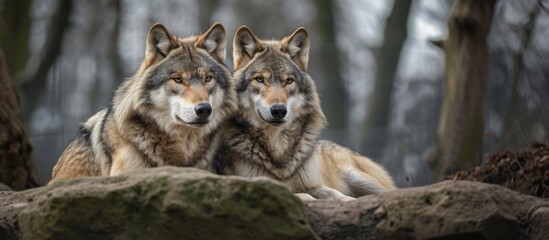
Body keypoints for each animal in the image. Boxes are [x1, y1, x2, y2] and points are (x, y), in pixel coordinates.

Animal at [214, 25, 394, 200]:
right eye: (259, 79)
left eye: (289, 81)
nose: (279, 110)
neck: (278, 145)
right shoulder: (256, 187)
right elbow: (303, 196)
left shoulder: (316, 186)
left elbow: (343, 197)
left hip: (361, 179)